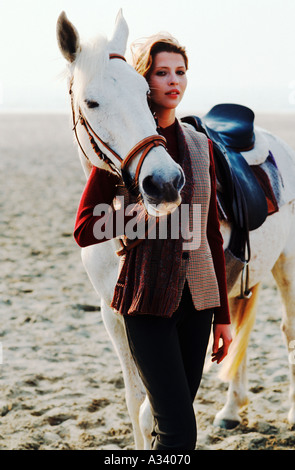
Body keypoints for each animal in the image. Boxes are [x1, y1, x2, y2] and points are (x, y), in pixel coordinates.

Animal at [57, 11, 295, 448]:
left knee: (289, 331)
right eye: (91, 102)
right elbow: (135, 403)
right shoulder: (113, 315)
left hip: (286, 265)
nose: (165, 182)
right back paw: (231, 410)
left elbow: (153, 410)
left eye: (145, 94)